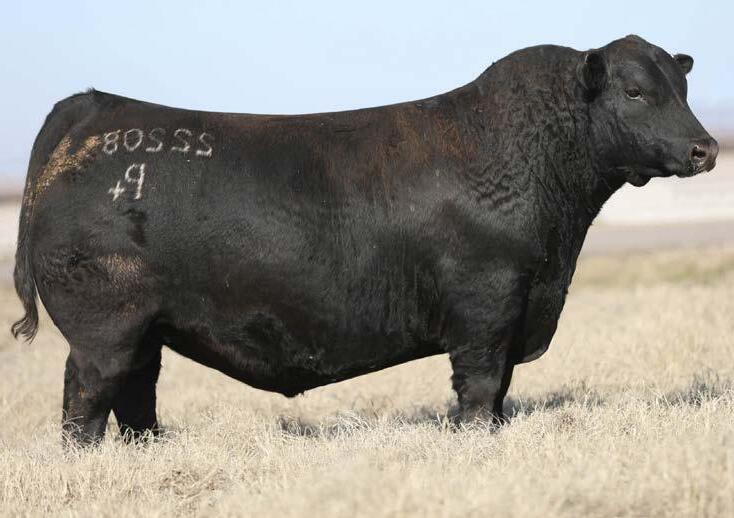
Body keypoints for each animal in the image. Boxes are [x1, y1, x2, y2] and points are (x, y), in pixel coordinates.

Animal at [13, 35, 718, 445]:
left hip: (145, 328)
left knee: (137, 395)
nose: (705, 148)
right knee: (87, 399)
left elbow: (500, 391)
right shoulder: (488, 302)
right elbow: (482, 385)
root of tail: (92, 109)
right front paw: (473, 441)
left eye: (681, 86)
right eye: (635, 91)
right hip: (104, 325)